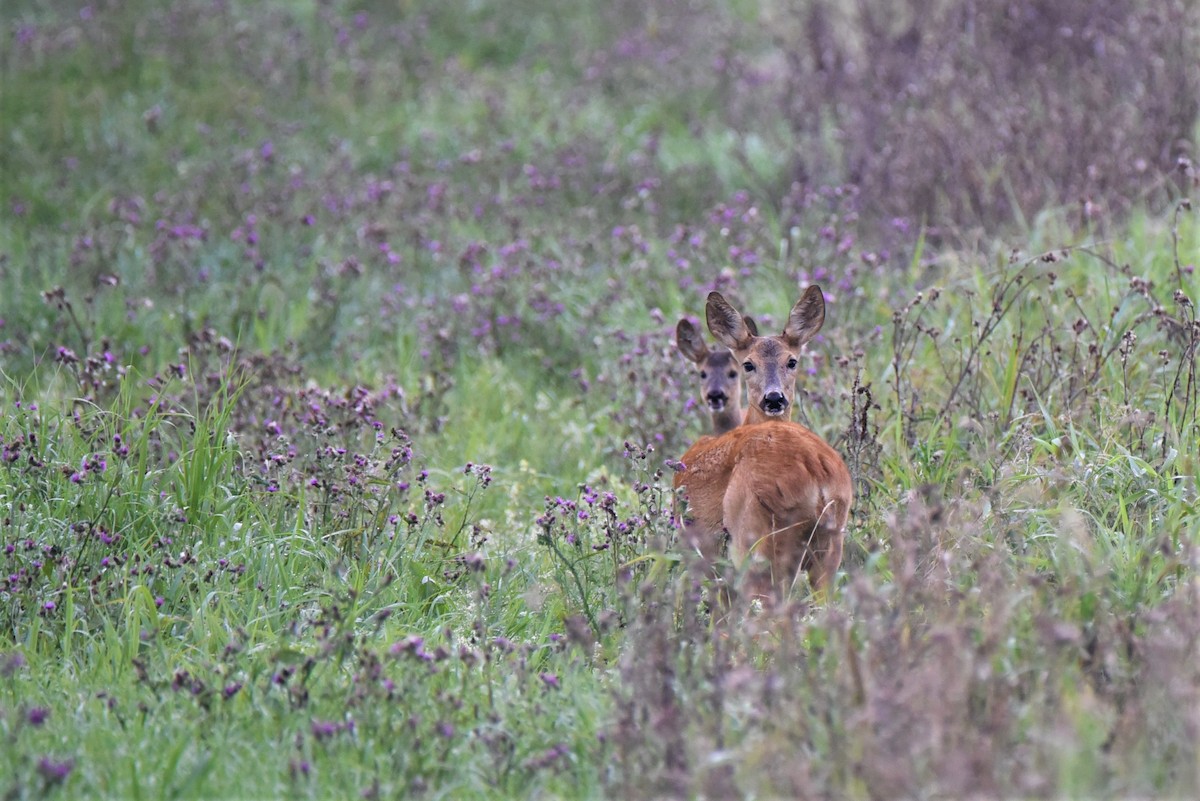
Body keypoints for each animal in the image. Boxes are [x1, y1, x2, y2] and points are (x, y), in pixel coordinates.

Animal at [673, 286, 853, 601]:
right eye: (748, 364)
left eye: (792, 361)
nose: (774, 398)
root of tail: (816, 473)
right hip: (830, 543)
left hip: (755, 539)